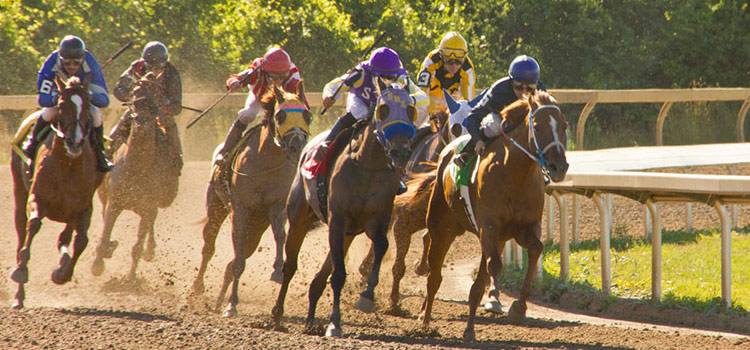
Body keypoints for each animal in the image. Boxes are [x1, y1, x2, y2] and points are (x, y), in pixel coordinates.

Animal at [9, 76, 103, 308]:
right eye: (61, 105)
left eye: (87, 105)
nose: (74, 142)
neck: (67, 164)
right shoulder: (37, 198)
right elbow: (33, 225)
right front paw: (21, 271)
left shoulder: (84, 207)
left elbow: (81, 241)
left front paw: (61, 274)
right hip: (19, 190)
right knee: (22, 230)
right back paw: (18, 295)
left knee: (65, 237)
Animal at [91, 74, 182, 282]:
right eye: (134, 91)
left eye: (155, 91)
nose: (140, 118)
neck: (136, 167)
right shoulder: (115, 203)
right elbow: (104, 235)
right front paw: (99, 263)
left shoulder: (149, 207)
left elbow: (137, 247)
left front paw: (131, 277)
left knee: (150, 227)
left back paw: (150, 250)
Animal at [200, 87, 312, 318]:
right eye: (280, 115)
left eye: (307, 115)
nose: (297, 146)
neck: (266, 160)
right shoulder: (241, 210)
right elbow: (238, 261)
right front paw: (231, 305)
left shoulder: (276, 206)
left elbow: (280, 235)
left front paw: (277, 270)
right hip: (216, 206)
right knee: (209, 247)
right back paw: (197, 291)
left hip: (257, 229)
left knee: (233, 261)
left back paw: (218, 301)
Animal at [418, 91, 568, 340]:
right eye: (537, 126)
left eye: (564, 125)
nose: (559, 167)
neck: (515, 173)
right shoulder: (488, 227)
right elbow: (494, 267)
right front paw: (481, 316)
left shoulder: (524, 228)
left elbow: (535, 250)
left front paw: (517, 308)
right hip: (442, 227)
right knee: (434, 274)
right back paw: (425, 320)